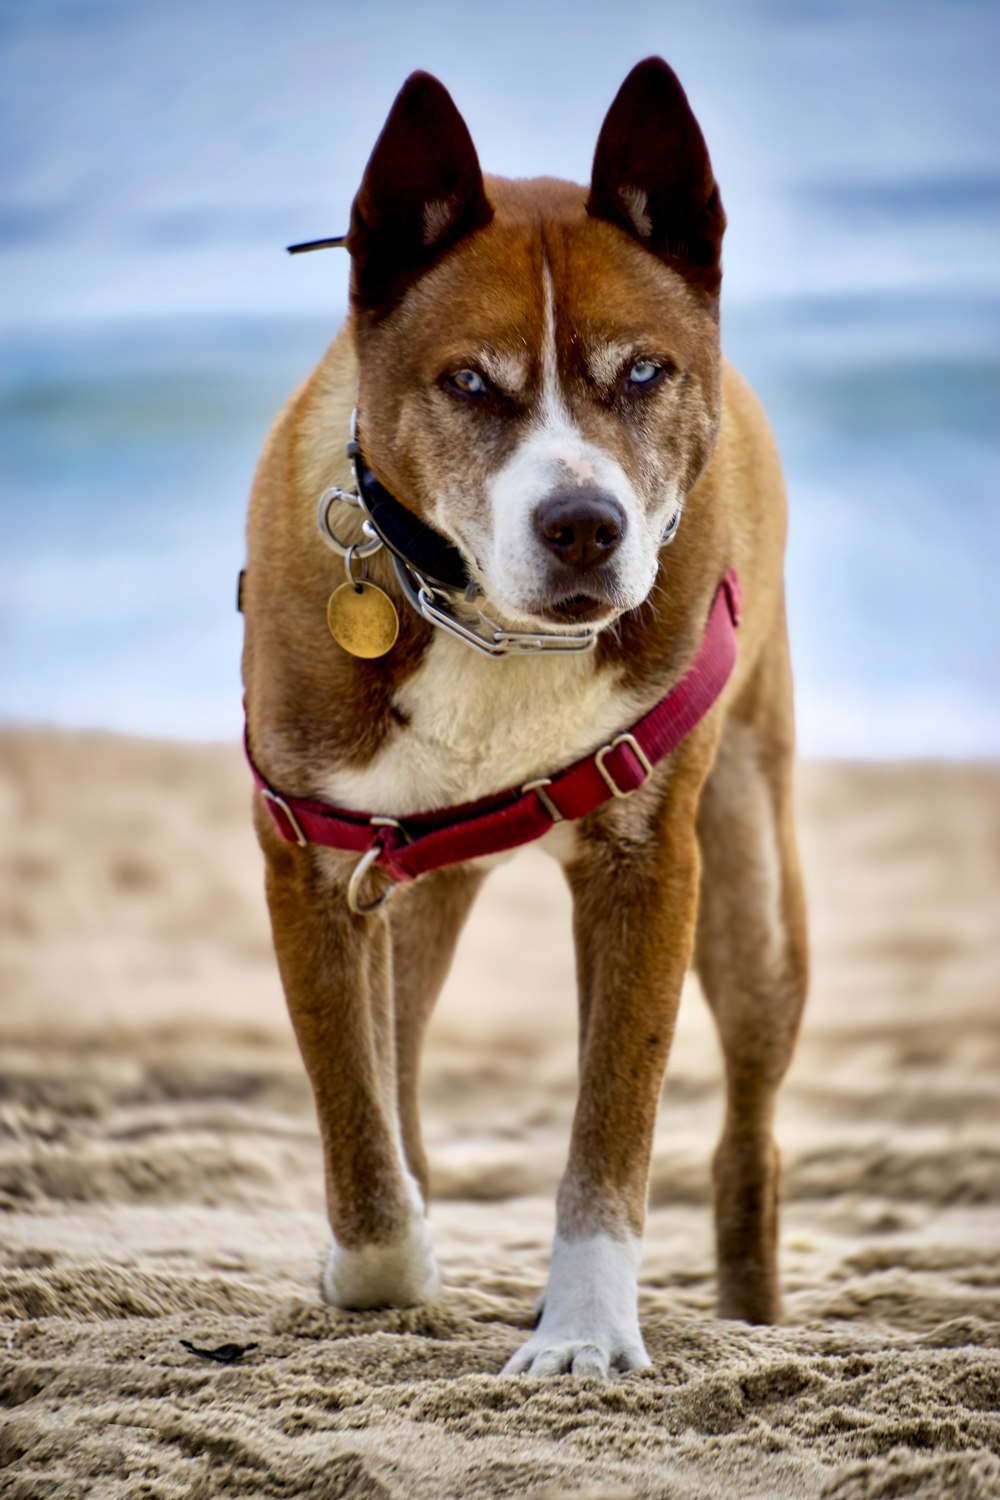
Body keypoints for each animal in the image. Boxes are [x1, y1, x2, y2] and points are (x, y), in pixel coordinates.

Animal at [244, 55, 815, 1374]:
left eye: (643, 372)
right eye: (467, 383)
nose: (584, 528)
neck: (489, 624)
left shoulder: (649, 866)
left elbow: (613, 1119)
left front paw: (585, 1335)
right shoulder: (312, 857)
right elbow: (358, 1119)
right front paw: (390, 1267)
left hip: (756, 888)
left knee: (748, 1132)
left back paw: (751, 1310)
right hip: (418, 884)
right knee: (398, 1054)